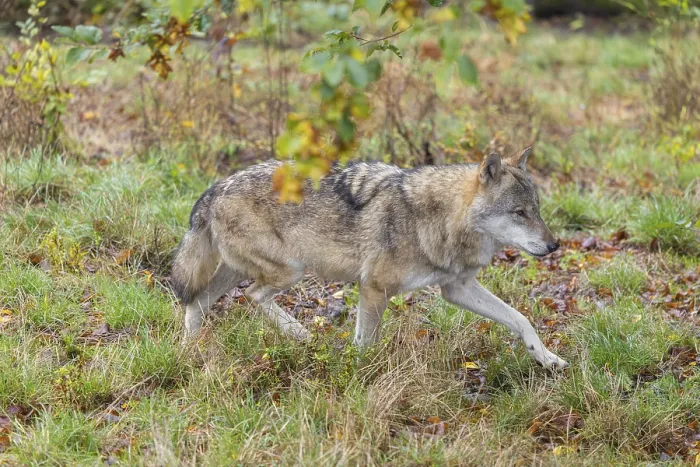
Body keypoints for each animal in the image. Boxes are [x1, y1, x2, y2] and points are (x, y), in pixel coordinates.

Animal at [171, 148, 568, 369]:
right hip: (289, 272)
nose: (554, 246)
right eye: (519, 213)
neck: (439, 218)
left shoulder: (457, 289)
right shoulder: (375, 287)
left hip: (238, 272)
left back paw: (188, 352)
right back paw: (298, 332)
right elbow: (367, 343)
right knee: (251, 296)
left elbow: (521, 319)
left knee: (197, 302)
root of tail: (214, 188)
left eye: (537, 210)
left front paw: (546, 358)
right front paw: (361, 376)